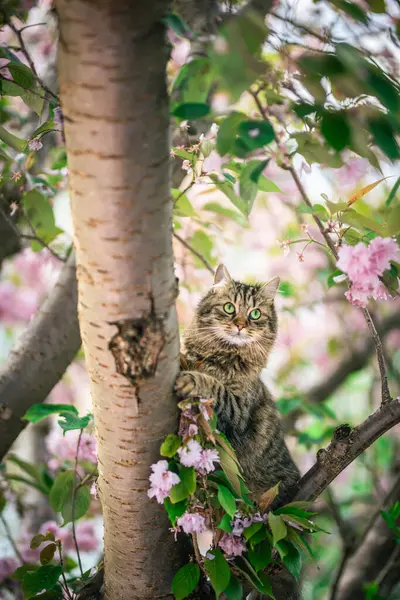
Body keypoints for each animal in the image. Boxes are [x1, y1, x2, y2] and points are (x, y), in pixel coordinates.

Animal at [175, 264, 300, 600]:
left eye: (255, 313)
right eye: (230, 308)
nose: (241, 325)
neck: (223, 355)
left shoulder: (237, 409)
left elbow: (212, 386)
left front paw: (190, 377)